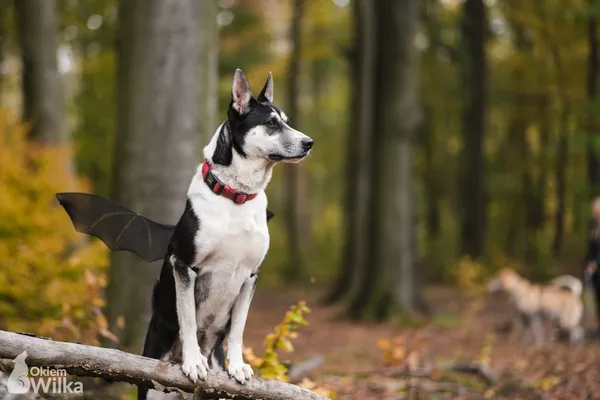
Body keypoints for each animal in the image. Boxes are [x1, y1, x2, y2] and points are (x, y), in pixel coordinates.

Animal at [138, 70, 312, 398]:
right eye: (271, 123)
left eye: (286, 120)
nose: (309, 143)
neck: (236, 195)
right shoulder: (184, 265)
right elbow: (188, 318)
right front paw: (193, 362)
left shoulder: (250, 275)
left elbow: (238, 329)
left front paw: (237, 366)